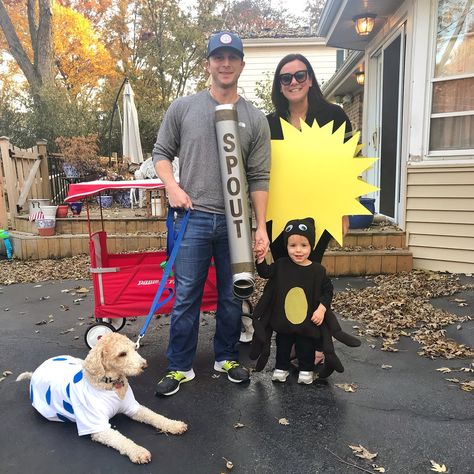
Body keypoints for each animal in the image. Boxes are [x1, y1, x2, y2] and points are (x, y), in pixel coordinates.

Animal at [17, 334, 187, 462]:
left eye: (134, 348)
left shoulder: (134, 408)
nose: (144, 365)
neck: (111, 386)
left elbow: (154, 416)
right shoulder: (99, 428)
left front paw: (173, 424)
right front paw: (137, 451)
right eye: (122, 354)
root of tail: (35, 372)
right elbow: (121, 440)